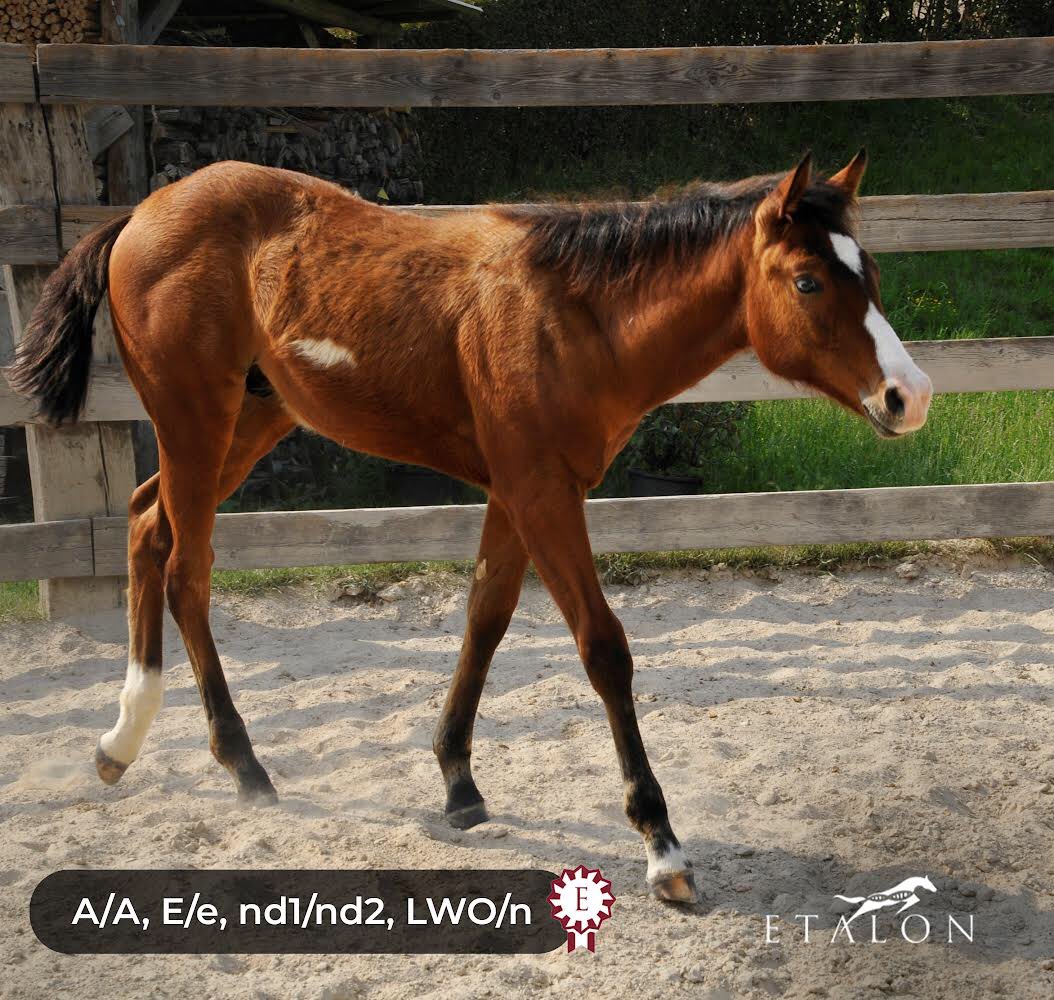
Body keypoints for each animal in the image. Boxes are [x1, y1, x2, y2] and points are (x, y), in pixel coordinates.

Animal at [6, 149, 932, 904]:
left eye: (872, 275)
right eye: (809, 282)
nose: (909, 396)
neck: (576, 316)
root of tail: (142, 215)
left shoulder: (518, 491)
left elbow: (485, 615)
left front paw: (458, 782)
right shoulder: (542, 492)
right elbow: (604, 649)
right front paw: (663, 847)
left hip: (251, 419)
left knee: (144, 527)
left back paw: (121, 745)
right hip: (196, 418)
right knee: (186, 566)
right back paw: (239, 764)